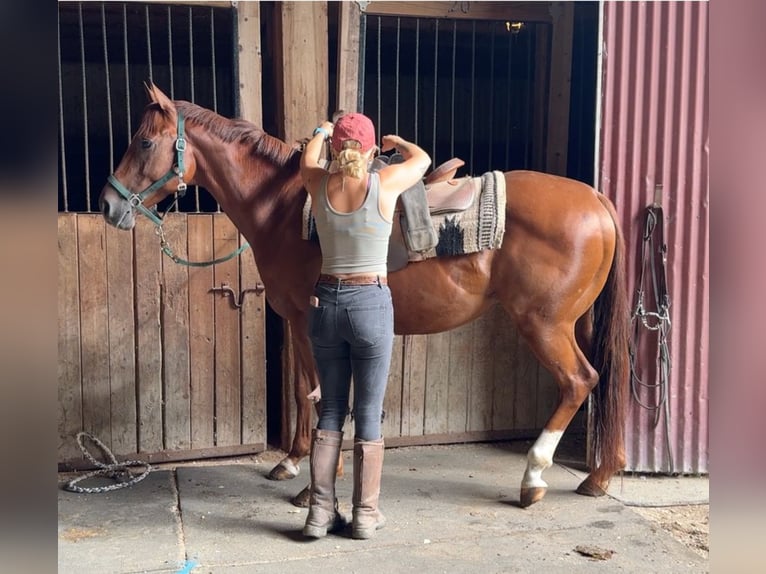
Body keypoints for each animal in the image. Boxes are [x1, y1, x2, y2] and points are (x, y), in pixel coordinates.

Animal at [97, 84, 632, 508]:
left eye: (144, 141)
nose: (107, 205)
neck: (284, 207)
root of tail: (595, 199)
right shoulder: (298, 322)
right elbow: (302, 391)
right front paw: (292, 462)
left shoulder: (313, 323)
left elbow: (322, 395)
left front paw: (315, 483)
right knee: (601, 382)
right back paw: (599, 476)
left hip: (544, 324)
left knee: (579, 381)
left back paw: (533, 477)